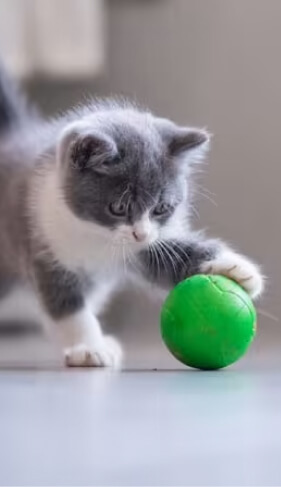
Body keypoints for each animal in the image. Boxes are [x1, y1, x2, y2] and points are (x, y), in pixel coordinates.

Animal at [0, 66, 264, 368]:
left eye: (161, 208)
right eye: (118, 207)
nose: (140, 233)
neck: (95, 235)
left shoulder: (145, 246)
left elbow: (170, 257)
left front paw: (238, 269)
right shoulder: (44, 247)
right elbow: (66, 304)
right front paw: (88, 346)